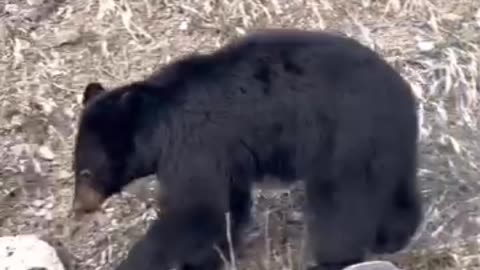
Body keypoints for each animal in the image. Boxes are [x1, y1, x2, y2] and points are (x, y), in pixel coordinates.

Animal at [72, 29, 424, 270]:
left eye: (85, 171)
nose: (79, 207)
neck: (160, 125)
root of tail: (404, 96)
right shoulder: (225, 157)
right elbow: (229, 206)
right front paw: (210, 258)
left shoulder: (196, 146)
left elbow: (195, 211)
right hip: (383, 148)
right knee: (395, 192)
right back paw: (395, 236)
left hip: (344, 144)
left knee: (342, 207)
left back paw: (333, 259)